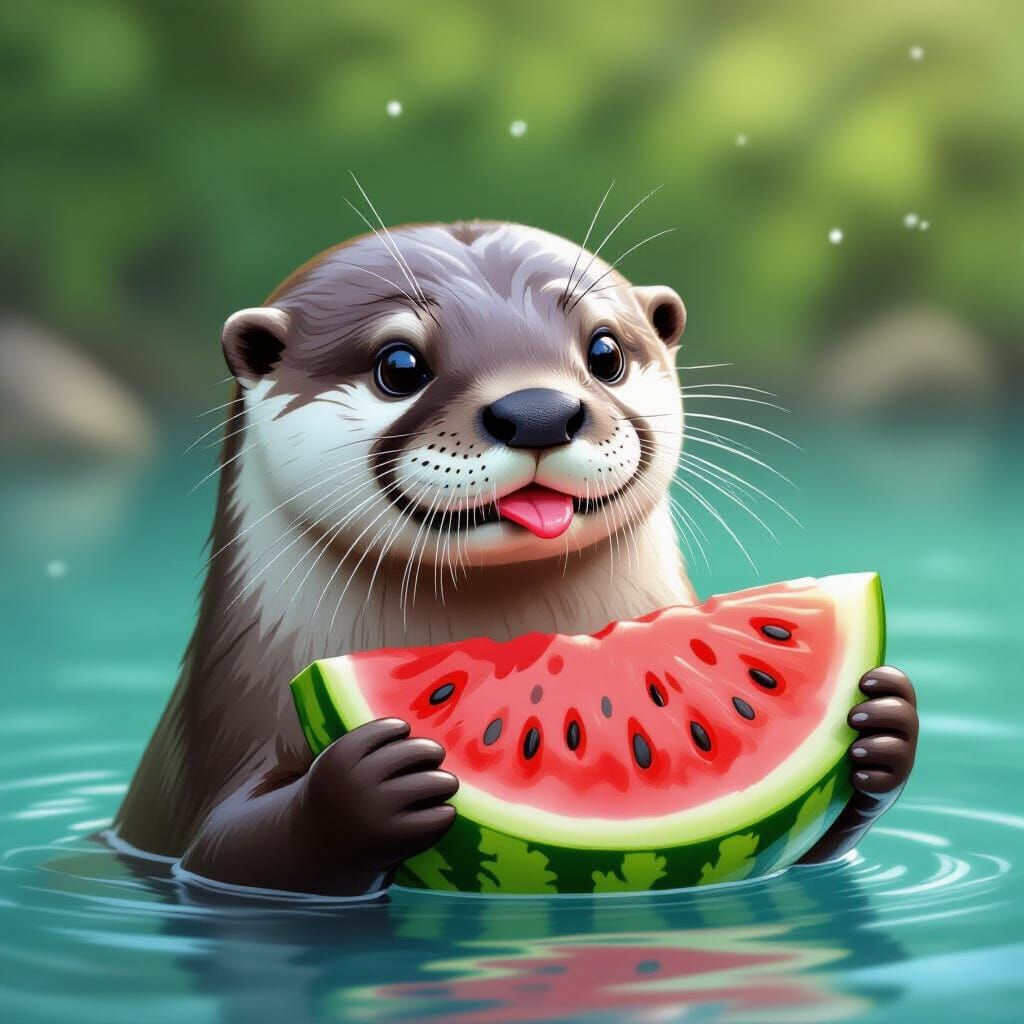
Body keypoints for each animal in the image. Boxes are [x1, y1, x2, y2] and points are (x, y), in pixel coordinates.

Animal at [115, 220, 918, 895]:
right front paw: (360, 788)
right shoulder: (227, 738)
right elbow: (229, 848)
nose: (538, 411)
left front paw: (888, 724)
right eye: (398, 364)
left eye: (605, 352)